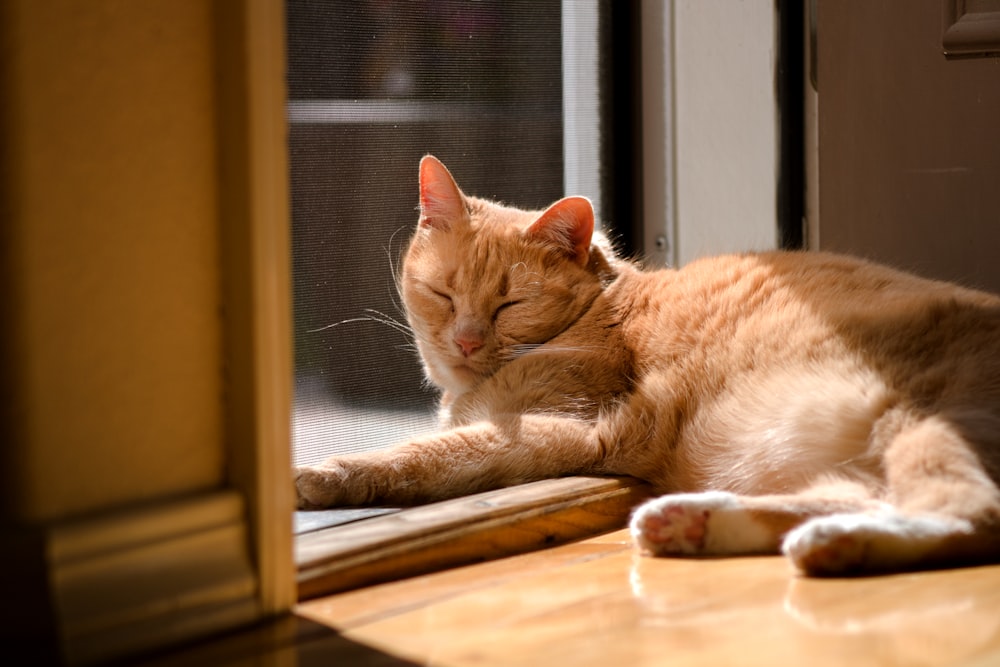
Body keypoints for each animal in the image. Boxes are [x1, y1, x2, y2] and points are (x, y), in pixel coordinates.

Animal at [296, 155, 1000, 576]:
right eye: (443, 294)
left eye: (508, 304)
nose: (466, 341)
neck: (601, 310)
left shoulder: (567, 431)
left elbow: (423, 457)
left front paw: (325, 474)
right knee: (854, 497)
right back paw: (697, 521)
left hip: (922, 421)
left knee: (969, 513)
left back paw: (832, 542)